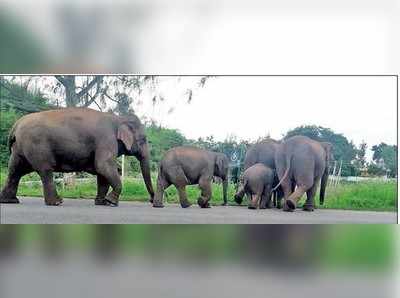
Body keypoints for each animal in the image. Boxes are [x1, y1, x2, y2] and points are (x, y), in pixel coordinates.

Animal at [0, 107, 155, 207]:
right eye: (143, 139)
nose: (152, 201)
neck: (119, 118)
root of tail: (16, 125)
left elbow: (102, 172)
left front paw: (101, 203)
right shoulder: (106, 140)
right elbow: (103, 166)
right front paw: (111, 202)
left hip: (20, 149)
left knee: (15, 171)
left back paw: (10, 201)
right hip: (37, 146)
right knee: (45, 171)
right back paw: (57, 202)